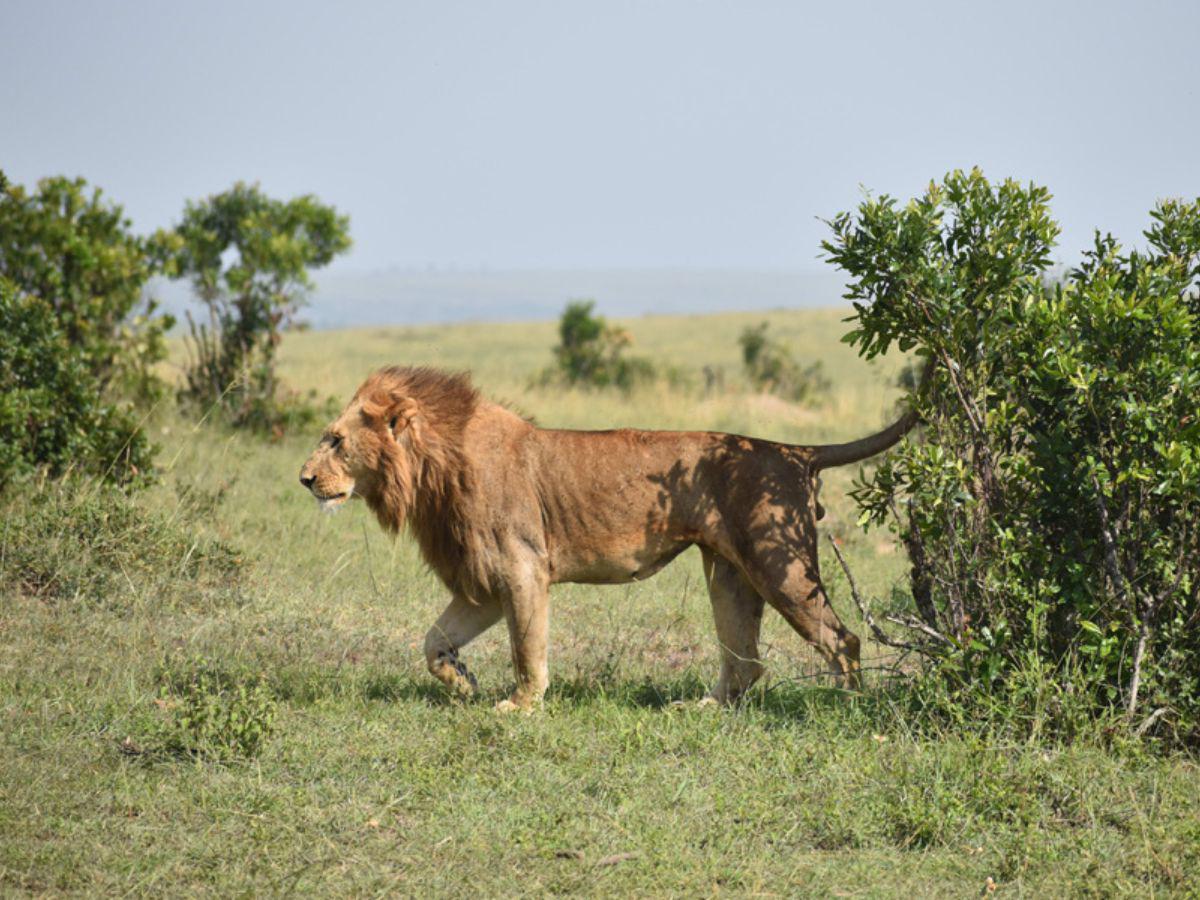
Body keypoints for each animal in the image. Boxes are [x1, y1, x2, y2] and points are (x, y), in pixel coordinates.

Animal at [299, 366, 918, 711]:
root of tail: (792, 449)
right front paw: (464, 685)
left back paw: (844, 708)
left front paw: (521, 706)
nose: (304, 478)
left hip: (777, 562)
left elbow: (527, 649)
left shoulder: (522, 568)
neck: (432, 469)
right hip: (729, 571)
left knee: (842, 639)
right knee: (745, 661)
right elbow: (433, 644)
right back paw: (703, 707)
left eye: (335, 440)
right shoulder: (486, 584)